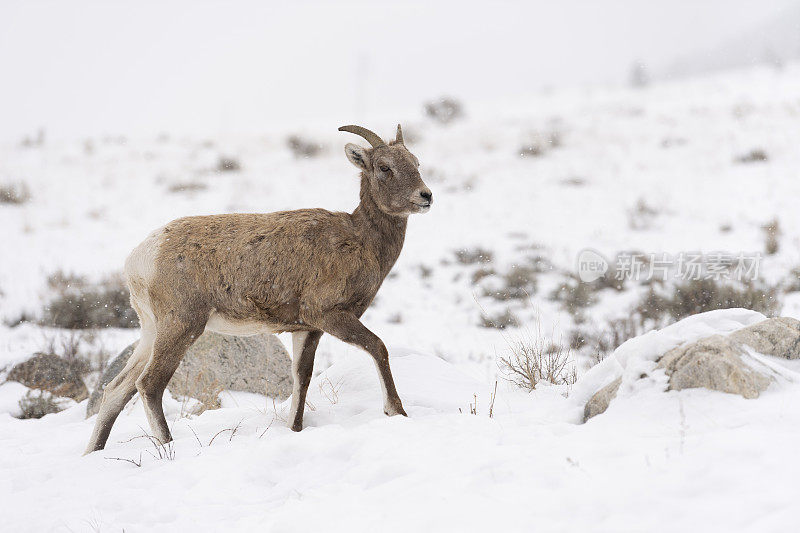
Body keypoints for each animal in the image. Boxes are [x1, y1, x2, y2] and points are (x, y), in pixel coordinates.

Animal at [85, 124, 434, 454]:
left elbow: (302, 379)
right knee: (149, 384)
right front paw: (396, 412)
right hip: (182, 325)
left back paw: (94, 451)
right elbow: (378, 347)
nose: (425, 196)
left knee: (116, 389)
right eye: (384, 167)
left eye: (416, 162)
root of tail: (142, 257)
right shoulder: (328, 316)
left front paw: (294, 430)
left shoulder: (306, 329)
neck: (360, 240)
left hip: (151, 331)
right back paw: (169, 446)